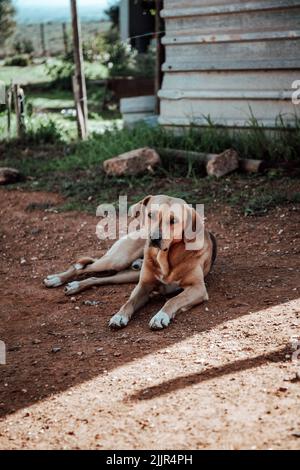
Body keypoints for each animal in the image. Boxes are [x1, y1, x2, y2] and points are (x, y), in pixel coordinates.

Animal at [44, 195, 216, 330]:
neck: (164, 257)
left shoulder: (198, 288)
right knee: (82, 267)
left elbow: (173, 300)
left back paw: (74, 285)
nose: (154, 238)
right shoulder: (143, 285)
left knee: (97, 278)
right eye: (150, 215)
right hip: (117, 261)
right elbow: (129, 302)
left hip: (127, 274)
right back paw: (56, 279)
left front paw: (160, 316)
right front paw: (119, 316)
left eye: (173, 220)